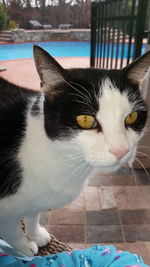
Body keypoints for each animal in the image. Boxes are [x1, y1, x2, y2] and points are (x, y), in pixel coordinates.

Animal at [0, 46, 149, 258]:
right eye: (85, 120)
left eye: (132, 117)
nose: (121, 151)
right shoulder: (5, 211)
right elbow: (11, 229)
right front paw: (25, 247)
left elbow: (33, 213)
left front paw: (36, 234)